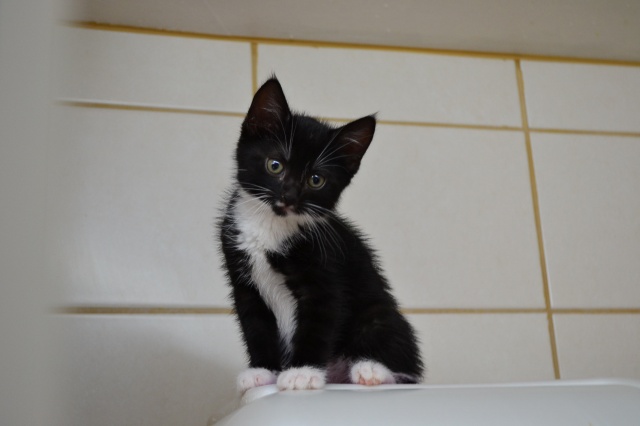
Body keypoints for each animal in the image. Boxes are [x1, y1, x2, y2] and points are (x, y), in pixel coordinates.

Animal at [218, 77, 423, 393]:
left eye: (316, 180)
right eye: (275, 165)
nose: (289, 196)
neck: (271, 225)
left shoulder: (326, 278)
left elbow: (317, 325)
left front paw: (302, 372)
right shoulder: (244, 283)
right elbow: (256, 327)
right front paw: (262, 371)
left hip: (378, 313)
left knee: (403, 362)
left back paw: (370, 370)